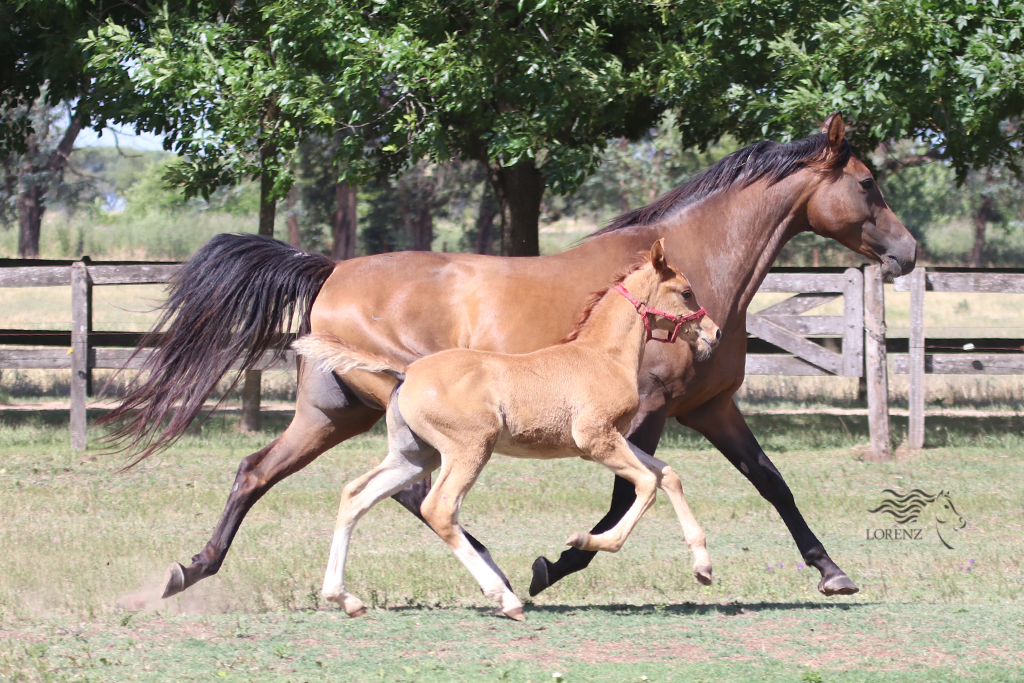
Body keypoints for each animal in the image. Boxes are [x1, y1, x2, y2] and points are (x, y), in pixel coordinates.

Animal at [294, 240, 721, 619]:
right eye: (686, 292)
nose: (714, 332)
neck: (603, 356)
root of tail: (408, 370)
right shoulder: (595, 439)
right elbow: (647, 485)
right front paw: (584, 538)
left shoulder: (610, 439)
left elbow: (667, 474)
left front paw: (703, 567)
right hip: (469, 448)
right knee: (440, 508)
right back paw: (506, 599)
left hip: (414, 455)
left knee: (356, 495)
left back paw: (345, 598)